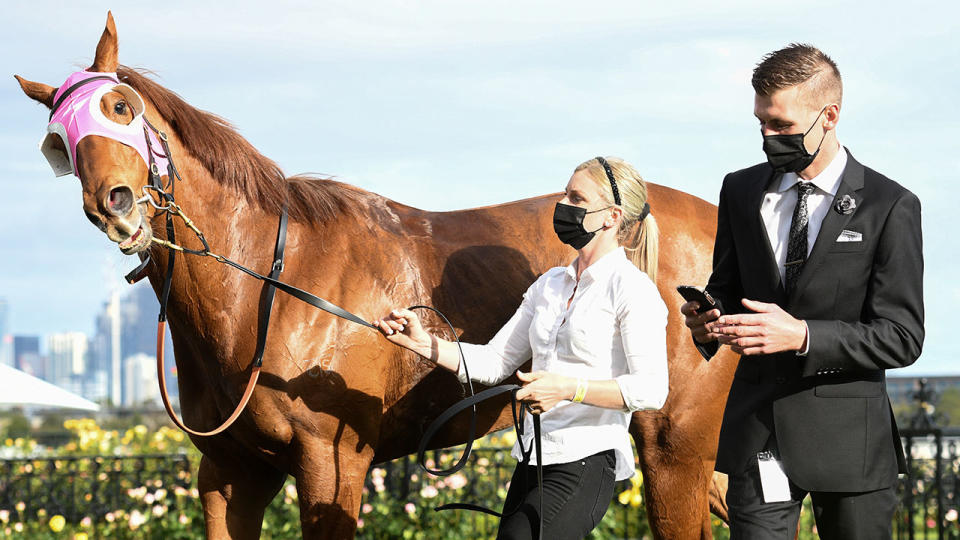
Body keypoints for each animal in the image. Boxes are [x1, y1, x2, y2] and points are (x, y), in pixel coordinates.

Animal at [13, 12, 736, 540]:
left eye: (119, 107)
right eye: (56, 143)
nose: (115, 205)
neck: (270, 286)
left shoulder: (332, 465)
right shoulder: (228, 472)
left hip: (673, 443)